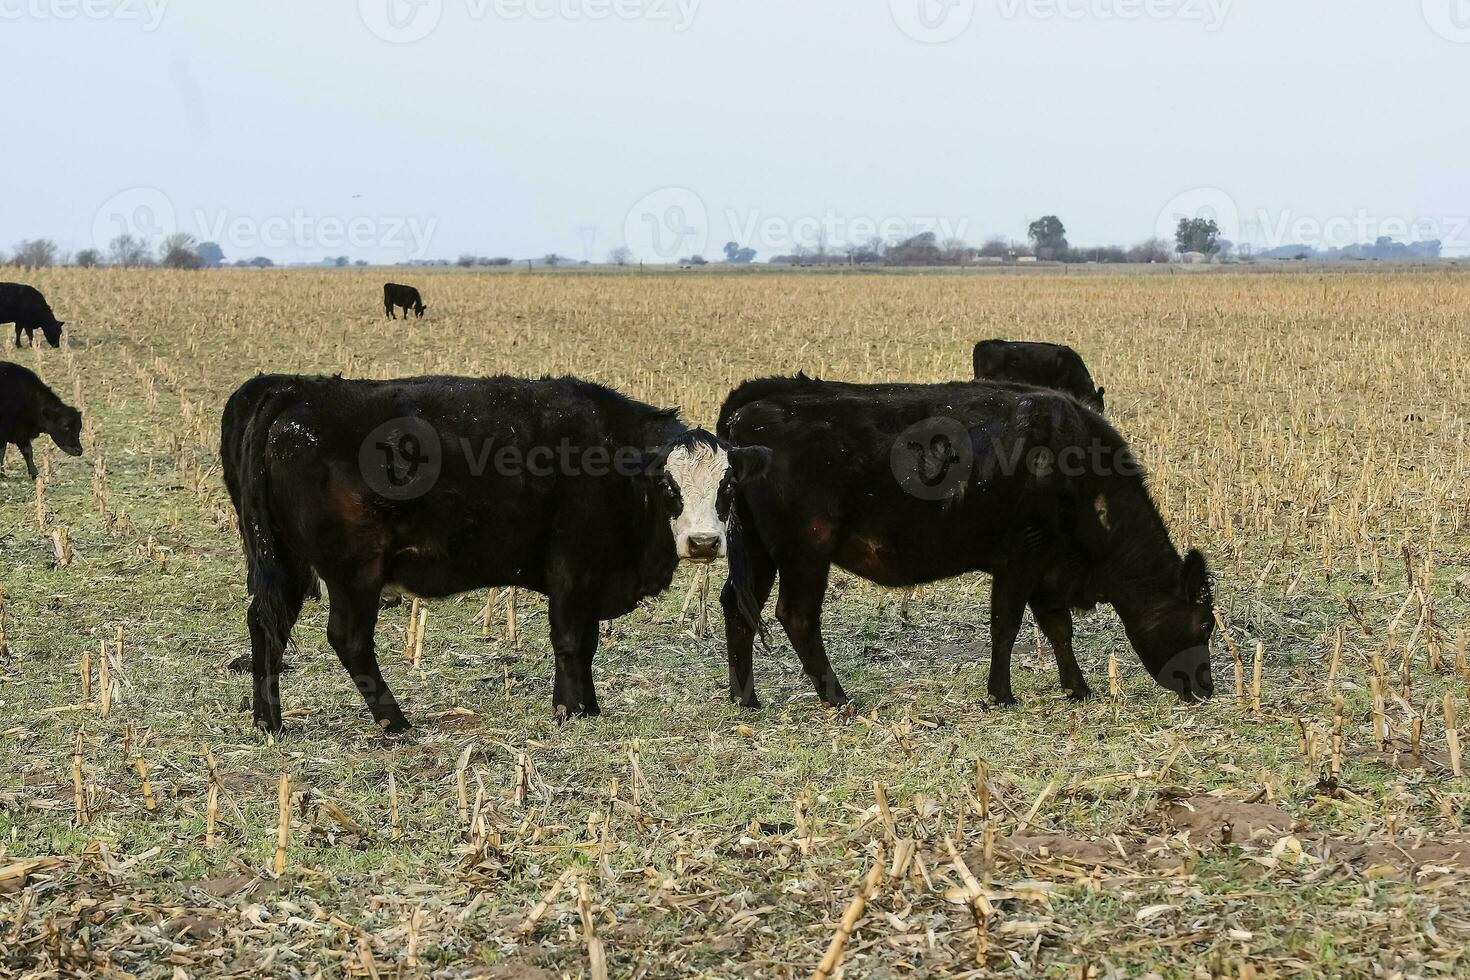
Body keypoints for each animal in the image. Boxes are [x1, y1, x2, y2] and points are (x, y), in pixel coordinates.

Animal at [220, 371, 770, 731]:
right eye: (668, 486)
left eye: (727, 487)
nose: (704, 543)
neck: (611, 457)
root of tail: (293, 389)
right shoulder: (572, 570)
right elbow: (571, 641)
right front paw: (569, 711)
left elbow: (587, 643)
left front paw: (587, 707)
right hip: (354, 571)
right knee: (348, 639)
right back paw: (395, 722)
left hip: (286, 562)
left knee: (266, 624)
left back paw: (269, 721)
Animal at [717, 376, 1211, 714]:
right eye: (1205, 624)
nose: (1206, 688)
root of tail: (752, 408)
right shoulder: (1022, 557)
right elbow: (1007, 625)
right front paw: (1002, 694)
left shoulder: (1047, 569)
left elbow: (1058, 628)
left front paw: (1078, 688)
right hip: (805, 551)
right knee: (796, 616)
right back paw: (838, 697)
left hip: (757, 551)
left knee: (737, 606)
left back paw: (747, 699)